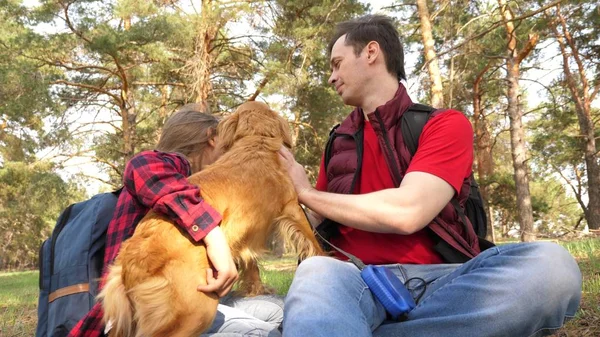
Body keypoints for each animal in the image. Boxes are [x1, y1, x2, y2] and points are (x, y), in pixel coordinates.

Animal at [98, 101, 324, 336]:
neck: (256, 142)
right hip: (195, 312)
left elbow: (251, 265)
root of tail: (132, 258)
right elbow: (313, 241)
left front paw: (256, 289)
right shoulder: (292, 207)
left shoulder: (246, 235)